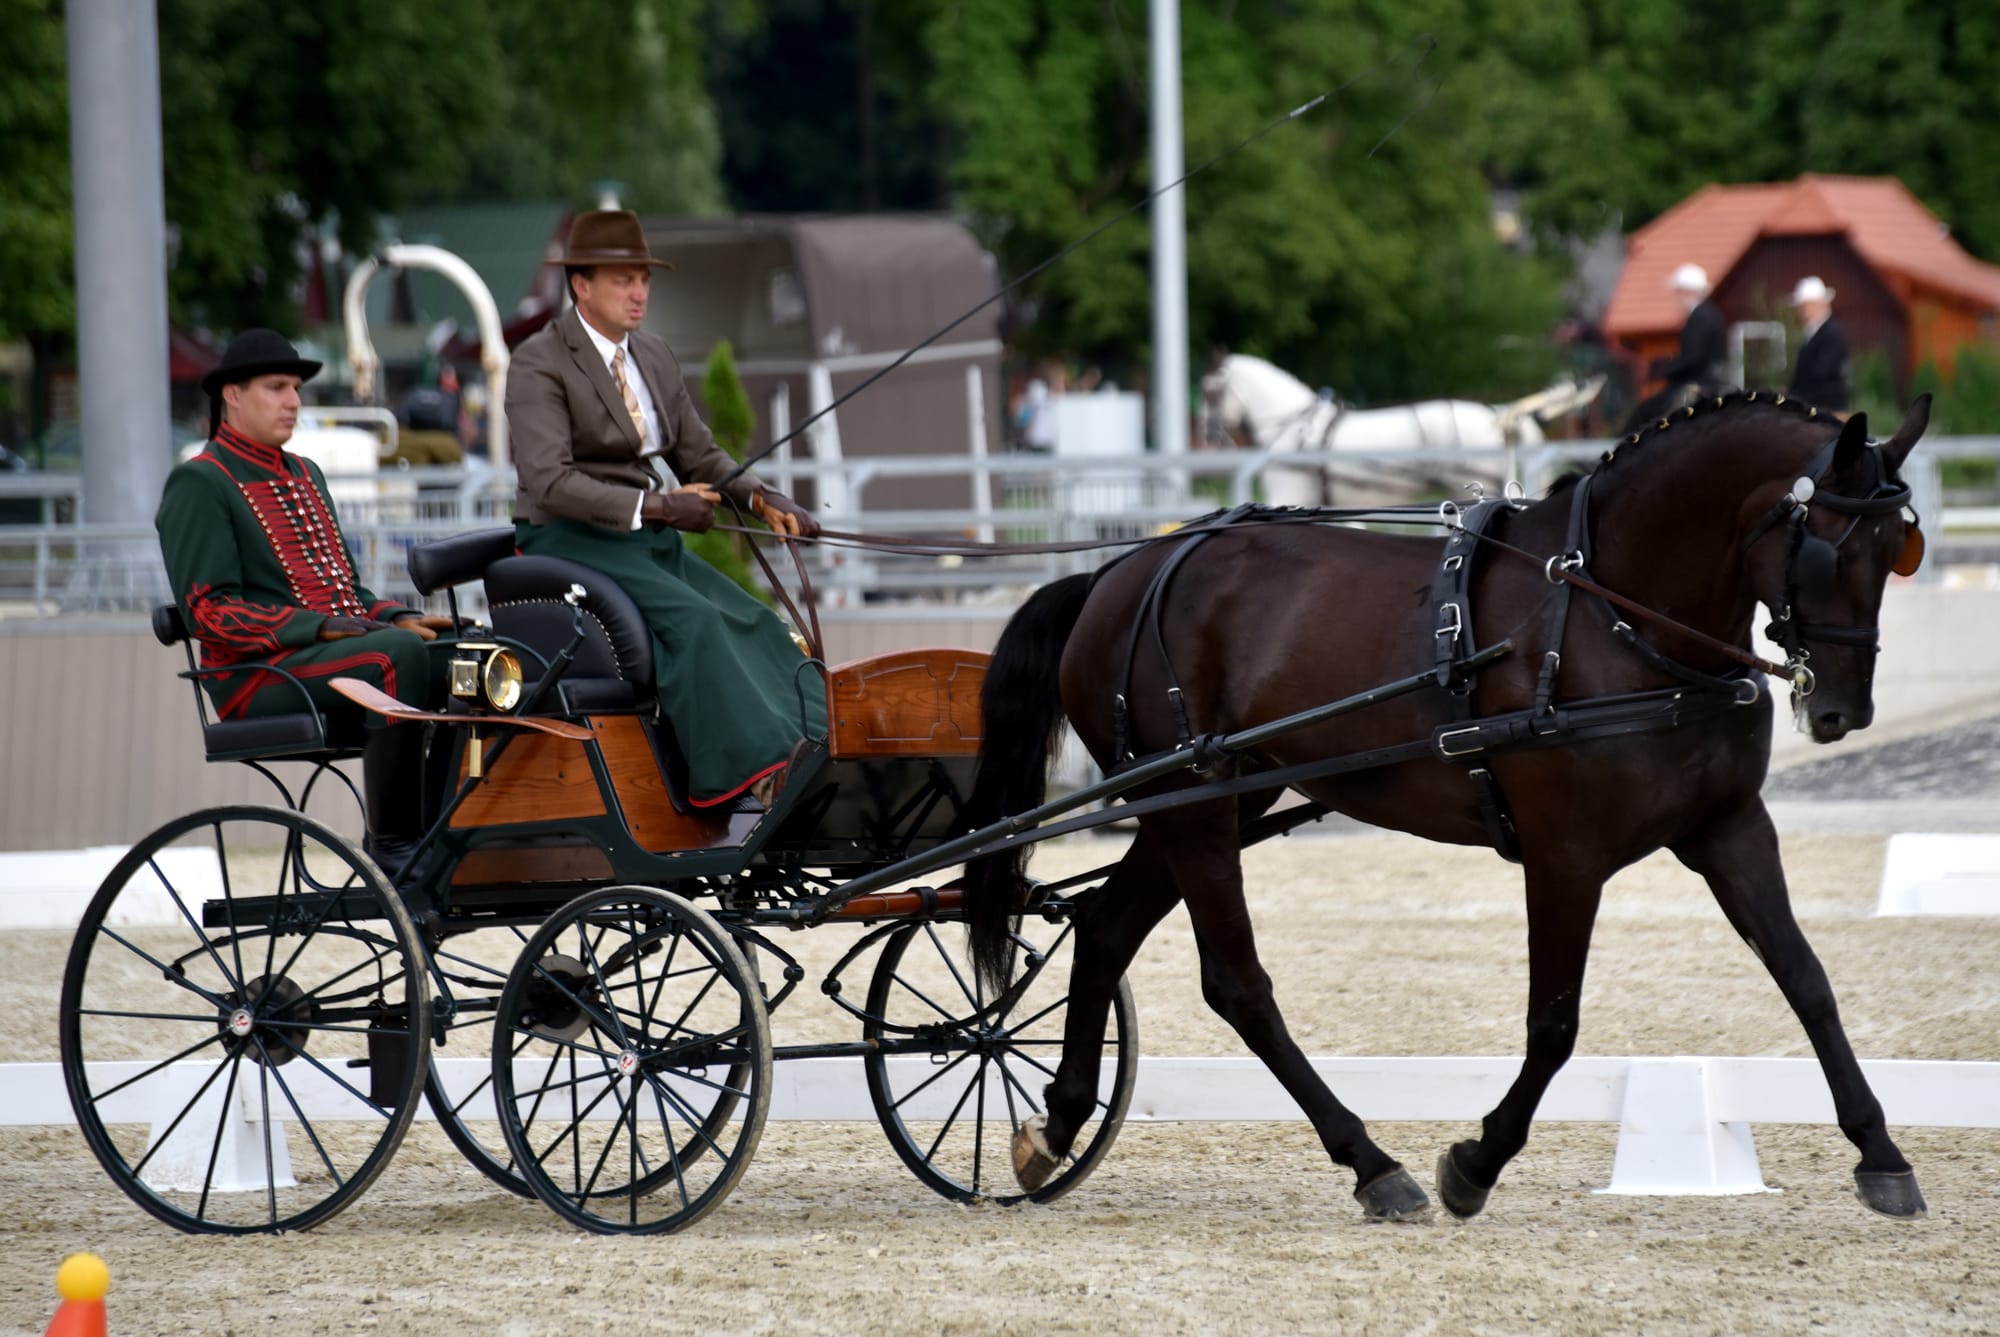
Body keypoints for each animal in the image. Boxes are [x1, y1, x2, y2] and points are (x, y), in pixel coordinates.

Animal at [968, 392, 1936, 1216]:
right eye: (1830, 546)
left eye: (1898, 548)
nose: (1843, 710)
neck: (1616, 619)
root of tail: (1119, 572)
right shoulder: (1565, 855)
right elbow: (1554, 1023)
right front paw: (1476, 1162)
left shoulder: (1728, 827)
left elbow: (1807, 980)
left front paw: (1881, 1153)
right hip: (1192, 804)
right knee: (1236, 982)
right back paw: (1370, 1162)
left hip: (1218, 801)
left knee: (1103, 928)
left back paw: (1055, 1126)